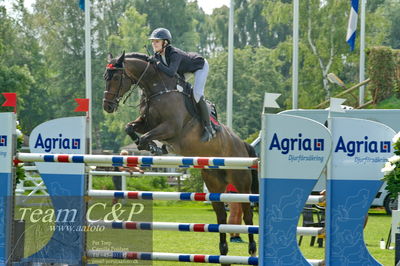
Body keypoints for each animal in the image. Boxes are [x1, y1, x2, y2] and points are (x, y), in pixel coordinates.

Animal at [102, 51, 260, 260]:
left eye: (116, 78)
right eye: (105, 77)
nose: (107, 107)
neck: (157, 89)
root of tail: (242, 143)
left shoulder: (170, 128)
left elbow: (146, 136)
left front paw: (154, 147)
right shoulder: (146, 122)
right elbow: (130, 128)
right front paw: (153, 147)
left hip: (241, 183)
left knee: (247, 213)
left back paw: (252, 249)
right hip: (214, 182)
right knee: (221, 215)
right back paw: (223, 250)